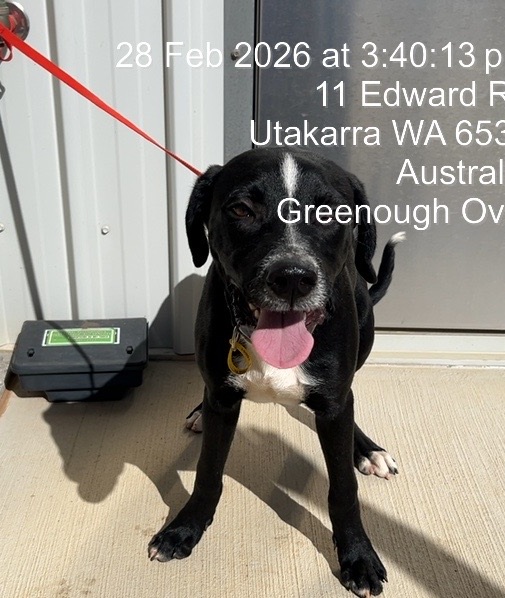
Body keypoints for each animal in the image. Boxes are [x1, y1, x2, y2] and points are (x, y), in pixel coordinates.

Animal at [148, 147, 404, 597]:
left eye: (329, 213)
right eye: (240, 209)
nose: (292, 278)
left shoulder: (334, 403)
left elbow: (343, 488)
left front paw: (358, 555)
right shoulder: (223, 400)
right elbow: (208, 471)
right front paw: (185, 528)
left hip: (363, 346)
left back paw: (368, 449)